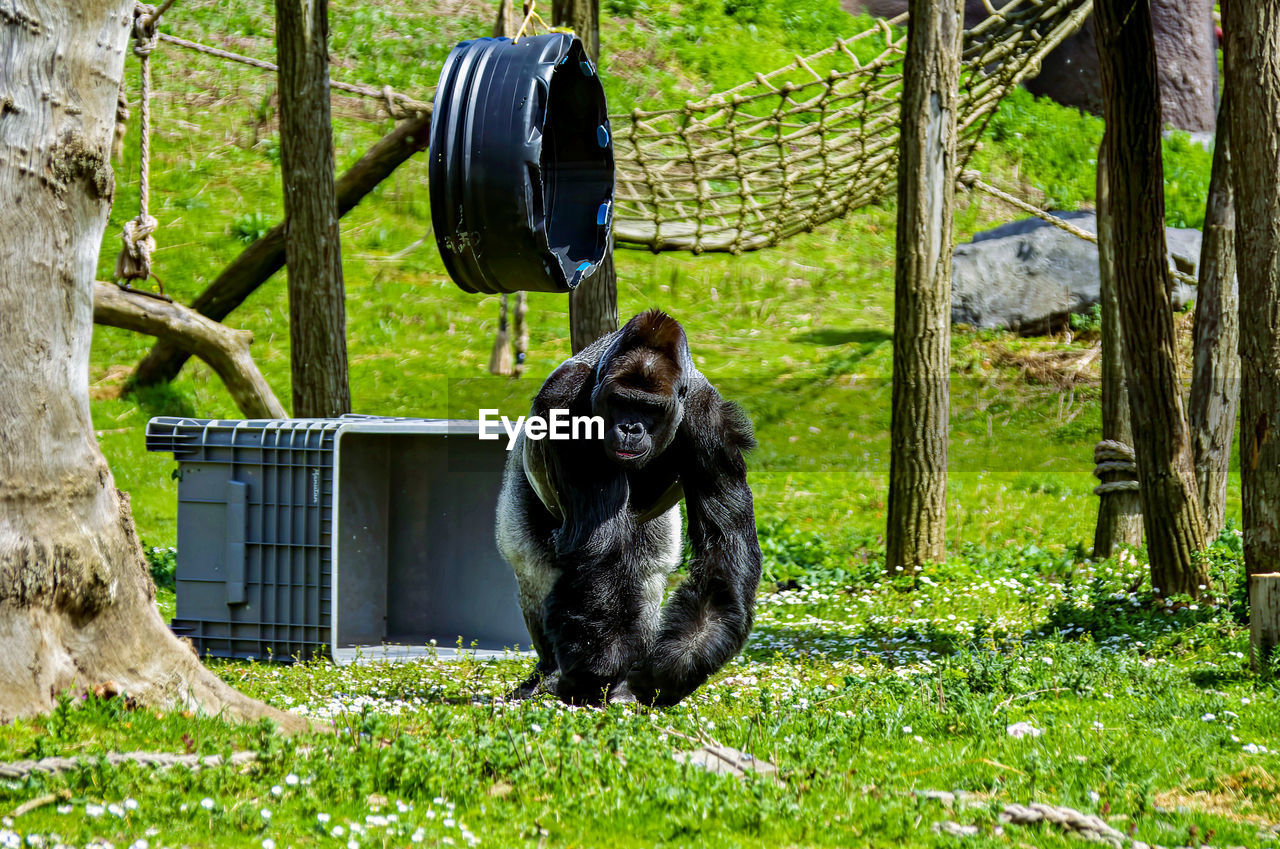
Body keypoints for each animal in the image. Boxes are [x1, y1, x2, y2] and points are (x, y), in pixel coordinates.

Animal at [496, 308, 757, 706]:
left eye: (649, 409)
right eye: (621, 402)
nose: (631, 428)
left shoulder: (712, 423)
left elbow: (724, 550)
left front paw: (674, 666)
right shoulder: (564, 404)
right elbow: (601, 551)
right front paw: (595, 674)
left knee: (646, 572)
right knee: (536, 569)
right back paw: (546, 671)